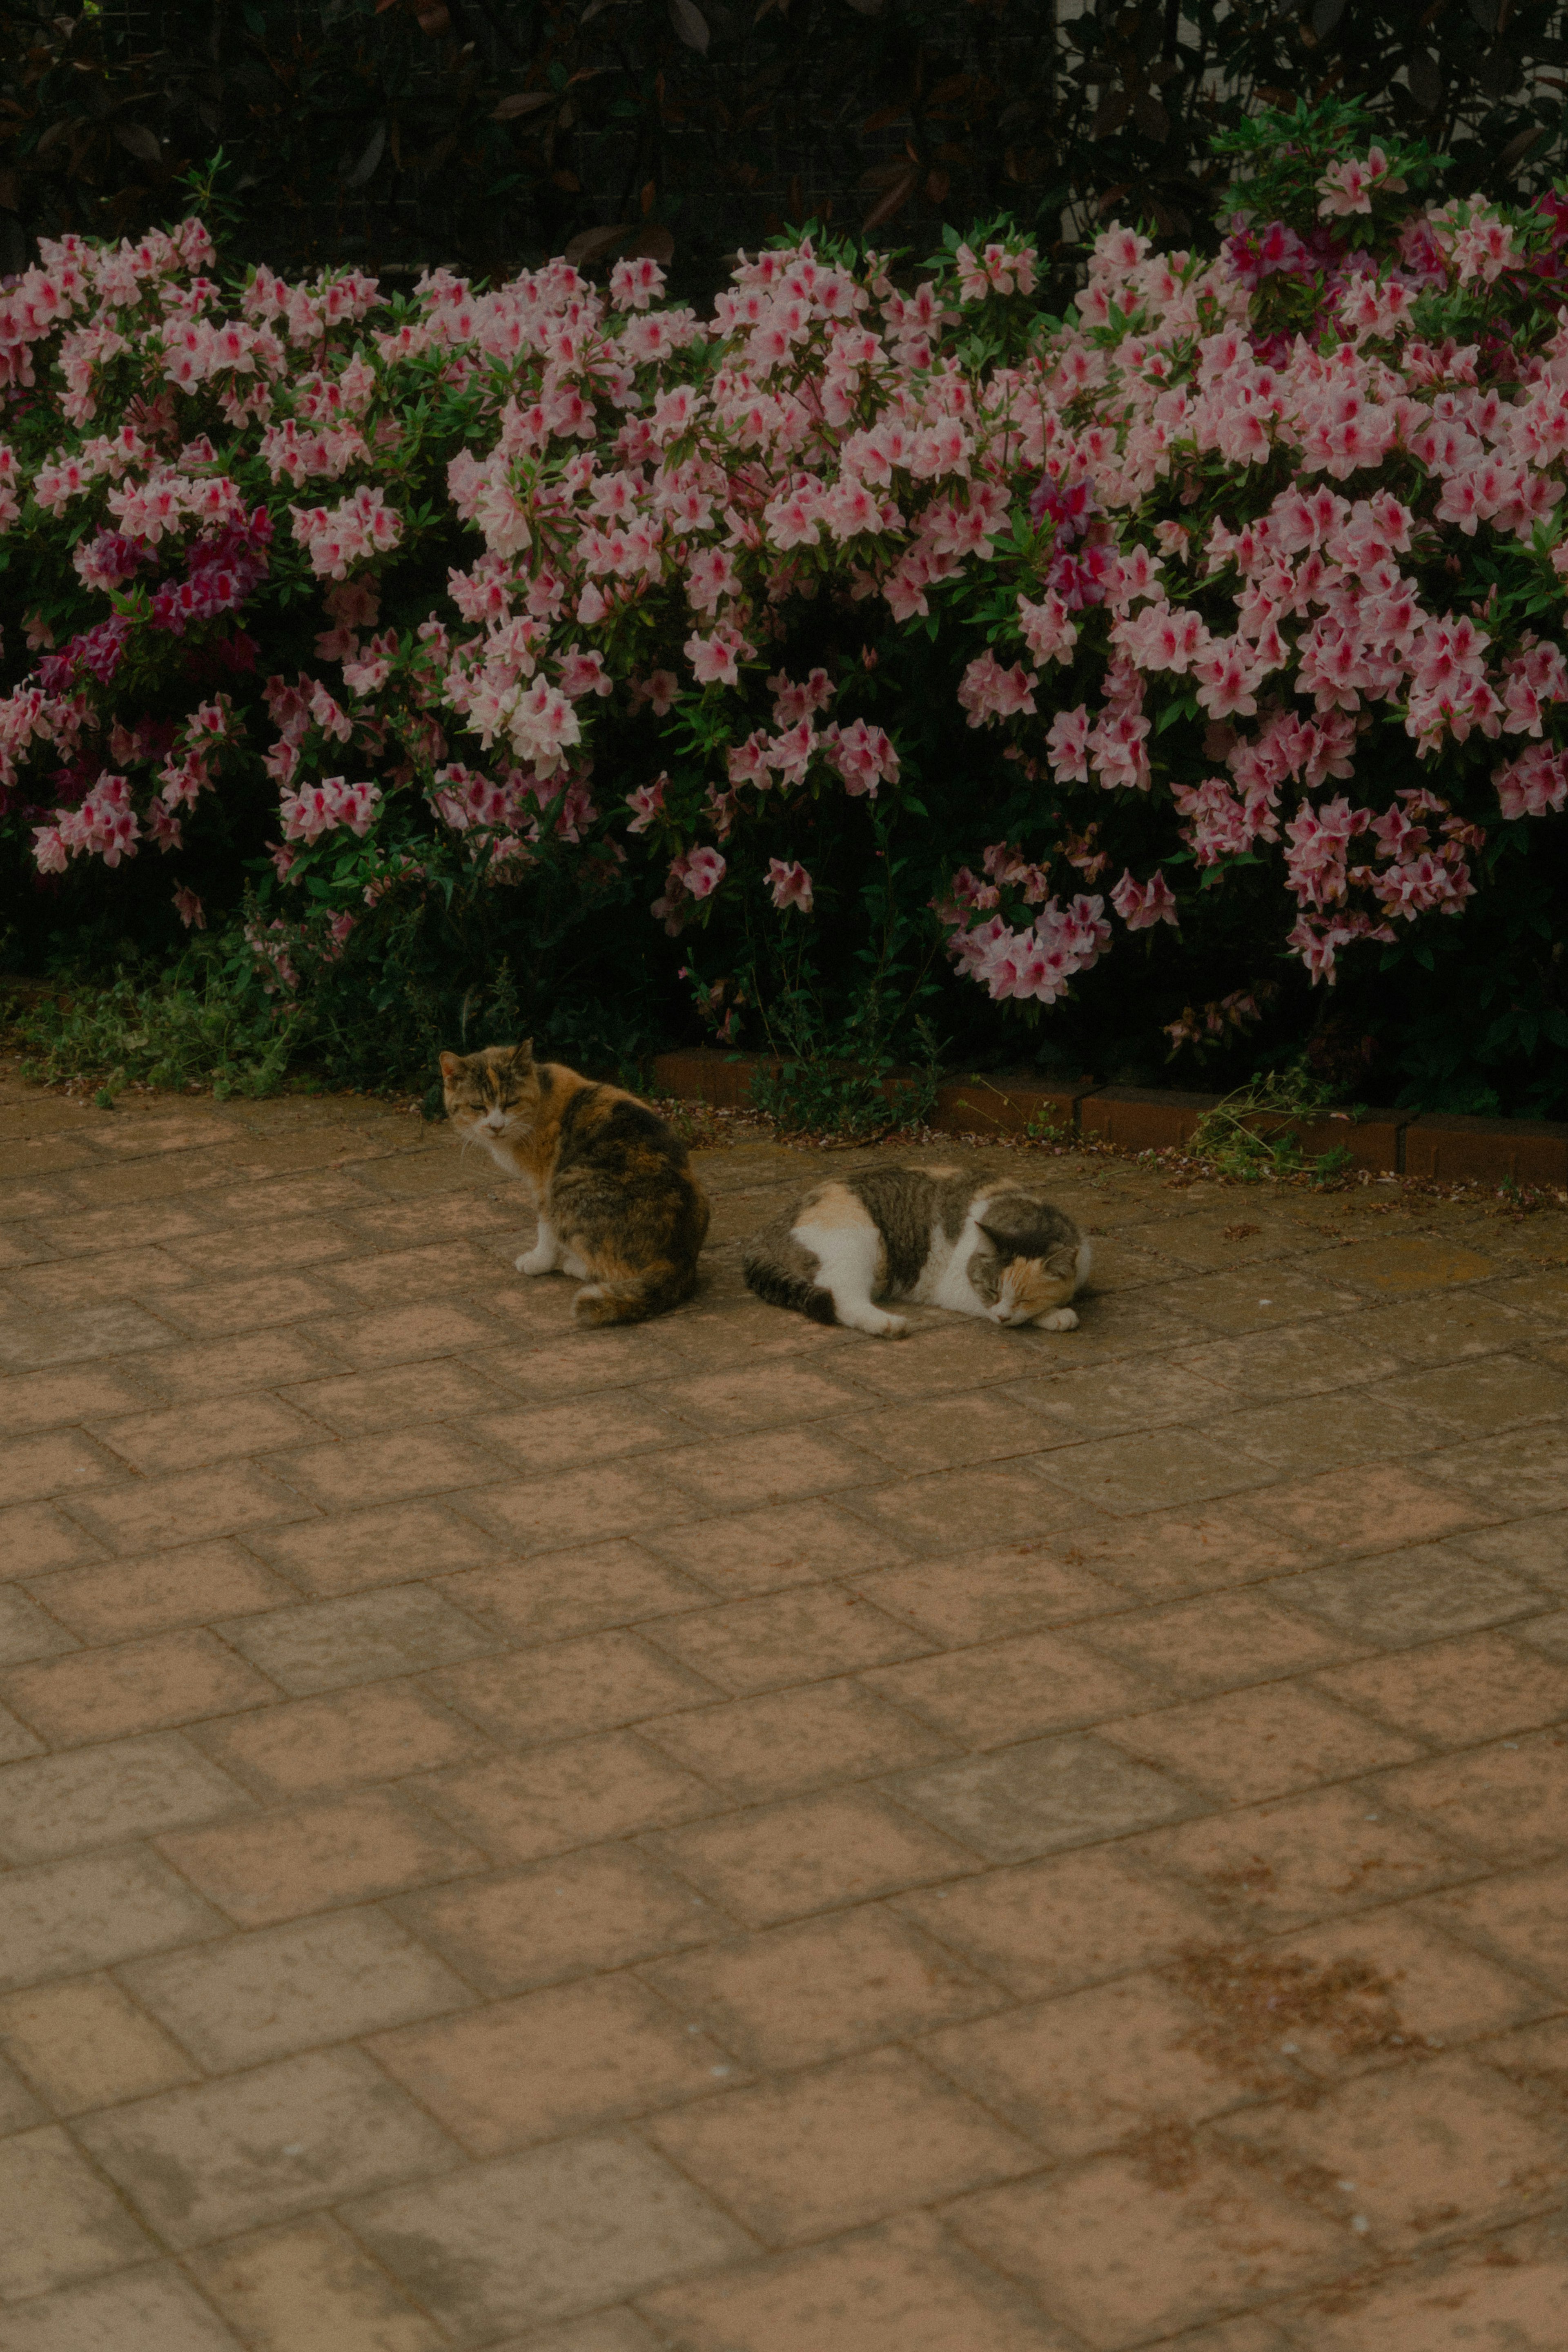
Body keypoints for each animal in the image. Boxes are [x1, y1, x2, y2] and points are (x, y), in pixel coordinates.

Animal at [442, 1044, 710, 1326]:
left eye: (511, 1103)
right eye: (477, 1106)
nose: (496, 1126)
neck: (541, 1096)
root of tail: (680, 1261)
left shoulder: (546, 1185)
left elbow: (546, 1228)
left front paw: (539, 1261)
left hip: (567, 1187)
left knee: (614, 1270)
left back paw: (574, 1265)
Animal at [747, 1162, 1091, 1336]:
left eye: (1026, 1298)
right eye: (991, 1290)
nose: (1004, 1317)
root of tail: (770, 1225)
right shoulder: (957, 1286)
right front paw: (1057, 1315)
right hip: (855, 1247)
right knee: (841, 1298)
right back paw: (887, 1324)